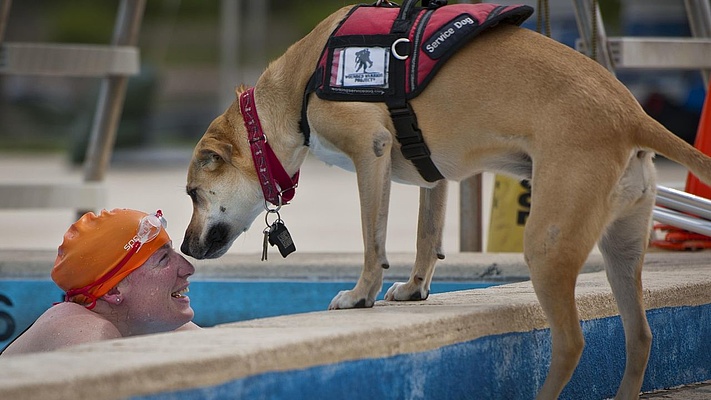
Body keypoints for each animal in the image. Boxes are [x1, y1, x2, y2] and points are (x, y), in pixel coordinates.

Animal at [181, 3, 711, 400]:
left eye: (191, 193)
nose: (184, 248)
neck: (298, 85)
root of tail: (631, 114)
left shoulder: (370, 151)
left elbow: (373, 242)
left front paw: (360, 295)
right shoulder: (431, 173)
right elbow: (425, 235)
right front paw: (415, 288)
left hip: (548, 244)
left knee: (571, 342)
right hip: (622, 246)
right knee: (640, 337)